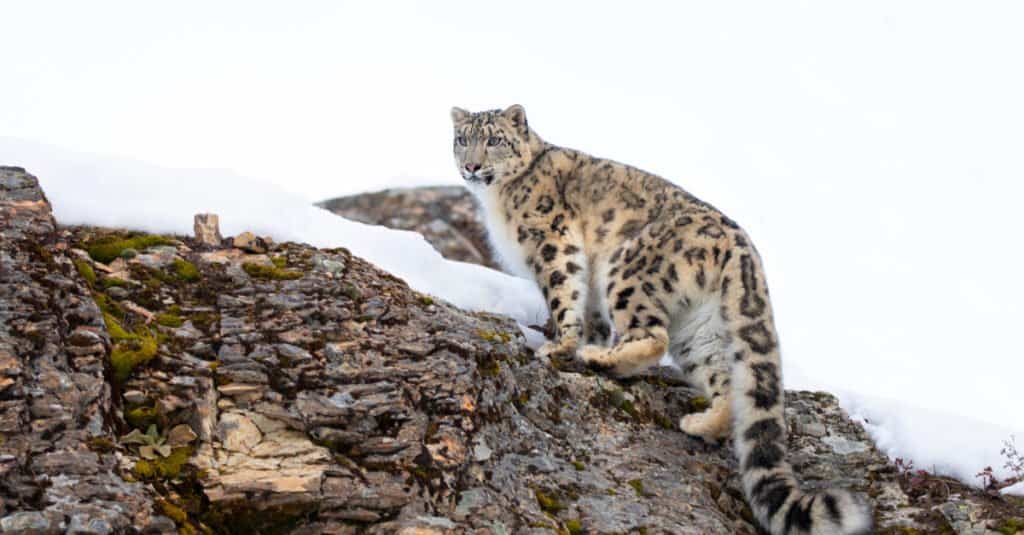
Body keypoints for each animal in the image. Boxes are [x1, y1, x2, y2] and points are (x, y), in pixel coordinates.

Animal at [448, 105, 872, 532]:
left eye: (494, 139)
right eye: (462, 139)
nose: (471, 166)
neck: (497, 198)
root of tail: (743, 246)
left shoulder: (552, 244)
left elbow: (565, 293)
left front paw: (561, 345)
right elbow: (591, 314)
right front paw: (586, 339)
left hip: (627, 270)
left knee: (653, 337)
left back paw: (603, 360)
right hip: (700, 326)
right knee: (723, 381)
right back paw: (698, 423)